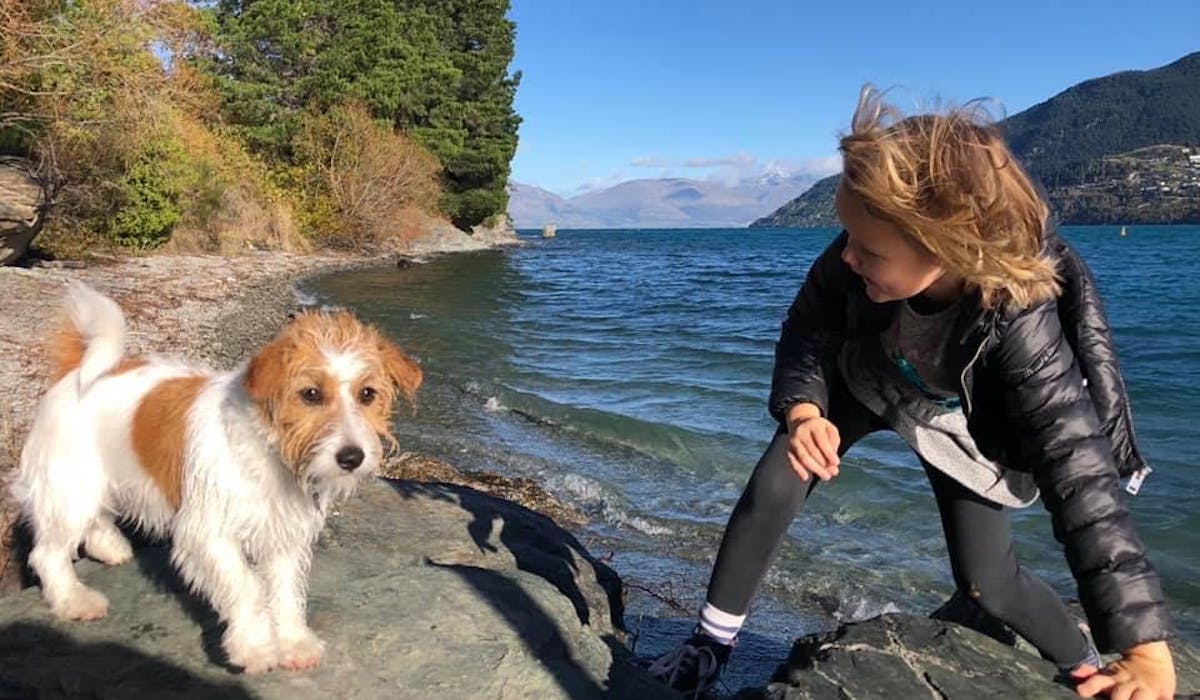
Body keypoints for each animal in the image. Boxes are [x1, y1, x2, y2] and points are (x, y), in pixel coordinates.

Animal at [10, 282, 417, 677]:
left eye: (367, 394)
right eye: (311, 394)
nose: (352, 457)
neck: (269, 450)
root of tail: (77, 370)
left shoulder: (283, 535)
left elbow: (285, 591)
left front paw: (293, 642)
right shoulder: (207, 533)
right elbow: (248, 586)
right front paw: (255, 647)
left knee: (95, 518)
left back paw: (110, 547)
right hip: (69, 489)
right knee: (48, 553)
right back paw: (73, 600)